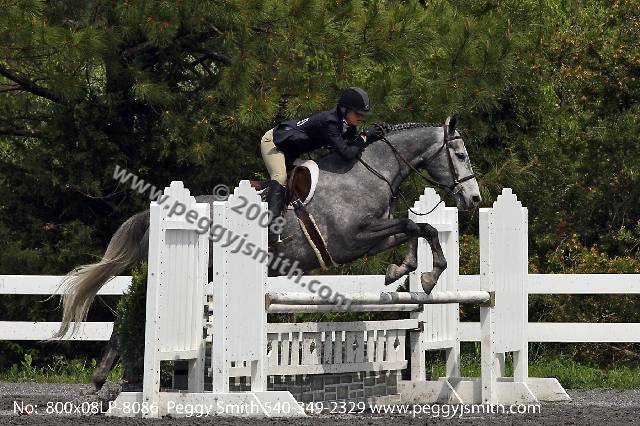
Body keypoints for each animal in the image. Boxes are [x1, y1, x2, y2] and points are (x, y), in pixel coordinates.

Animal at [53, 116, 481, 390]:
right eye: (459, 155)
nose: (474, 199)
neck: (367, 171)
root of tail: (160, 212)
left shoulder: (372, 235)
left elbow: (416, 228)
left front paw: (404, 271)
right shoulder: (352, 240)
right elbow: (416, 226)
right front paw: (428, 273)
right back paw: (104, 380)